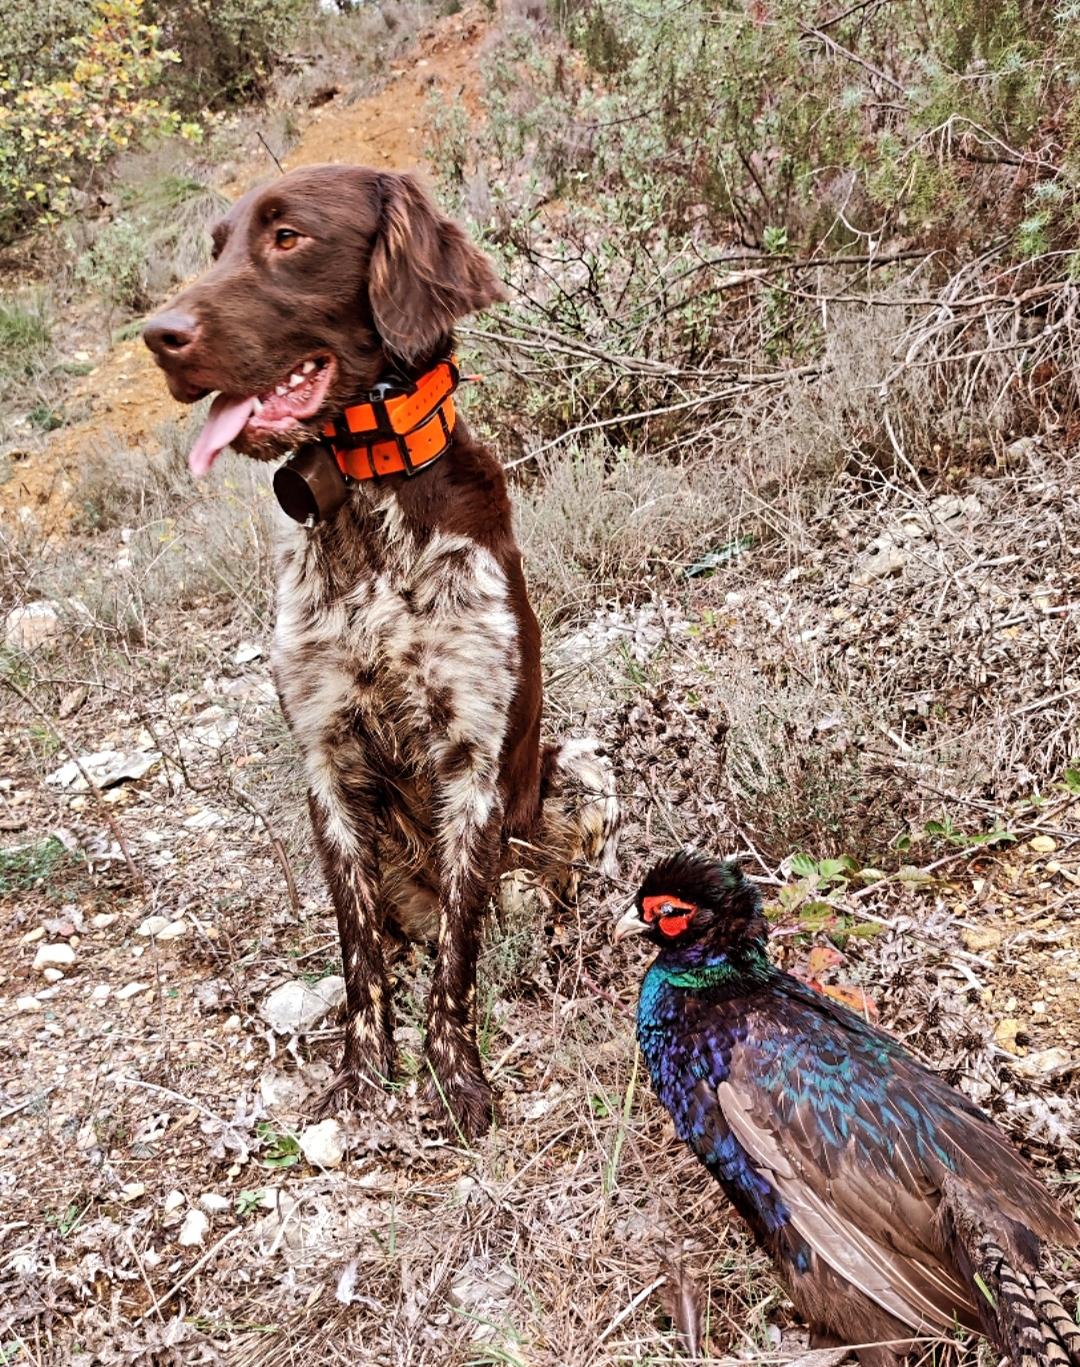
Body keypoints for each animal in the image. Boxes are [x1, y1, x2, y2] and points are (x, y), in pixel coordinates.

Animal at [143, 165, 617, 1137]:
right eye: (218, 246)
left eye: (288, 237)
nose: (158, 336)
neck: (367, 501)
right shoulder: (326, 756)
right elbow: (358, 944)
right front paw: (363, 1070)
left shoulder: (473, 759)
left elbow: (458, 957)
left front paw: (455, 1073)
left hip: (583, 766)